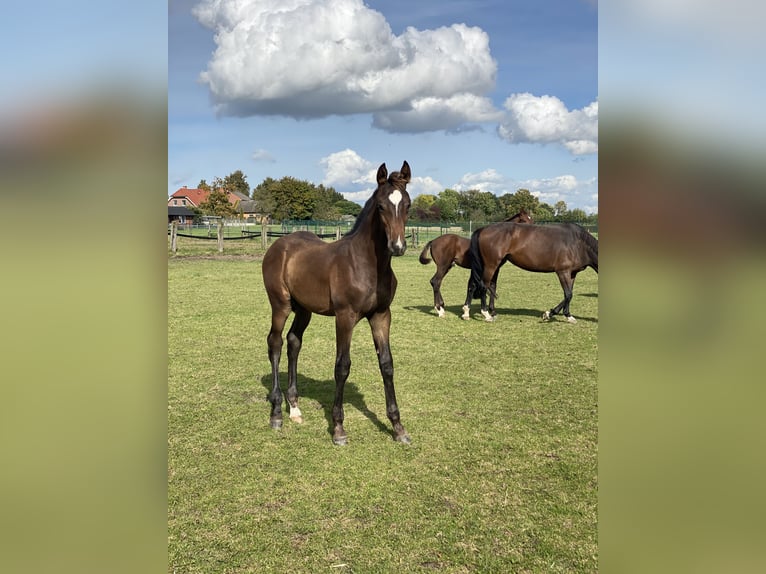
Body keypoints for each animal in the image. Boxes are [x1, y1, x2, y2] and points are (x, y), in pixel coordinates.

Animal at [262, 160, 414, 448]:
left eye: (408, 204)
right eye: (380, 206)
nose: (397, 246)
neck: (367, 264)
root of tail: (278, 244)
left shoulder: (381, 315)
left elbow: (387, 364)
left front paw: (398, 428)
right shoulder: (346, 316)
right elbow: (342, 366)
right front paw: (338, 429)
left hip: (304, 309)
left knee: (294, 341)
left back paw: (294, 408)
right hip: (280, 305)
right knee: (275, 343)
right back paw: (276, 413)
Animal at [462, 223, 600, 324]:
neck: (578, 243)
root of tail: (483, 229)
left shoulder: (572, 274)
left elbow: (569, 295)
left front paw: (568, 316)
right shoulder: (563, 272)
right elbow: (568, 295)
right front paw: (548, 314)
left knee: (474, 285)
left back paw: (467, 312)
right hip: (491, 265)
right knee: (483, 287)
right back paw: (486, 314)